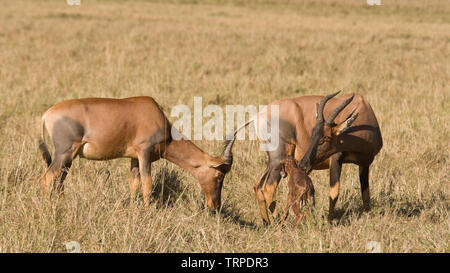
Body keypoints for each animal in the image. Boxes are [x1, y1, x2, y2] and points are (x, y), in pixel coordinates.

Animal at [38, 95, 236, 208]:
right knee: (48, 176)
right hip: (65, 153)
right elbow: (147, 184)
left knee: (60, 180)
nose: (215, 205)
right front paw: (148, 211)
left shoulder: (134, 158)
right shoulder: (144, 152)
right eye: (219, 175)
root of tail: (47, 114)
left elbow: (134, 184)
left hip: (69, 157)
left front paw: (134, 209)